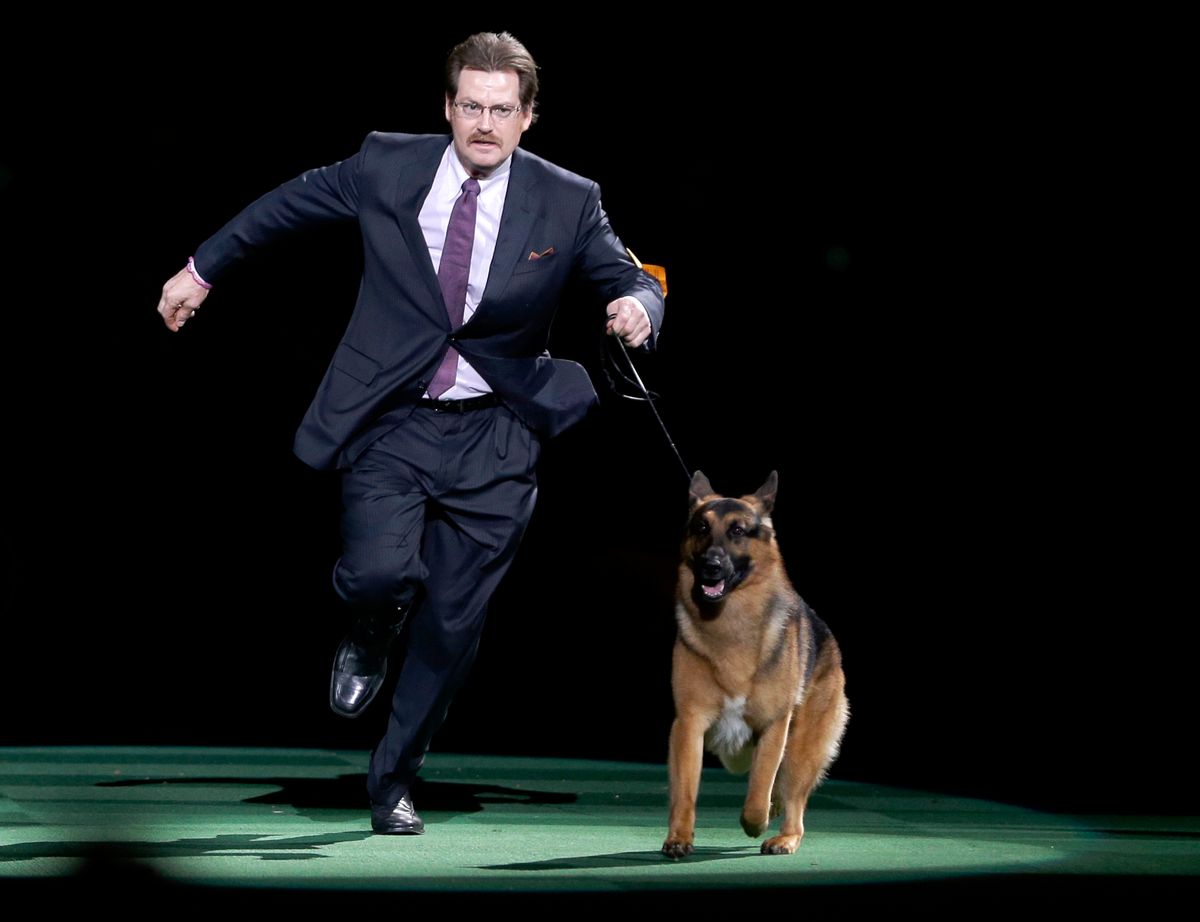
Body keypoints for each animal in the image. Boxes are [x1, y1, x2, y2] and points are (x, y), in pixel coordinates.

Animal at [662, 475, 849, 854]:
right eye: (702, 527)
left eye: (737, 530)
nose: (711, 567)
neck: (729, 623)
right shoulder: (689, 725)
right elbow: (685, 792)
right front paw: (679, 837)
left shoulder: (773, 727)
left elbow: (759, 788)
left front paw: (756, 821)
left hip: (801, 752)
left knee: (792, 800)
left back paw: (785, 836)